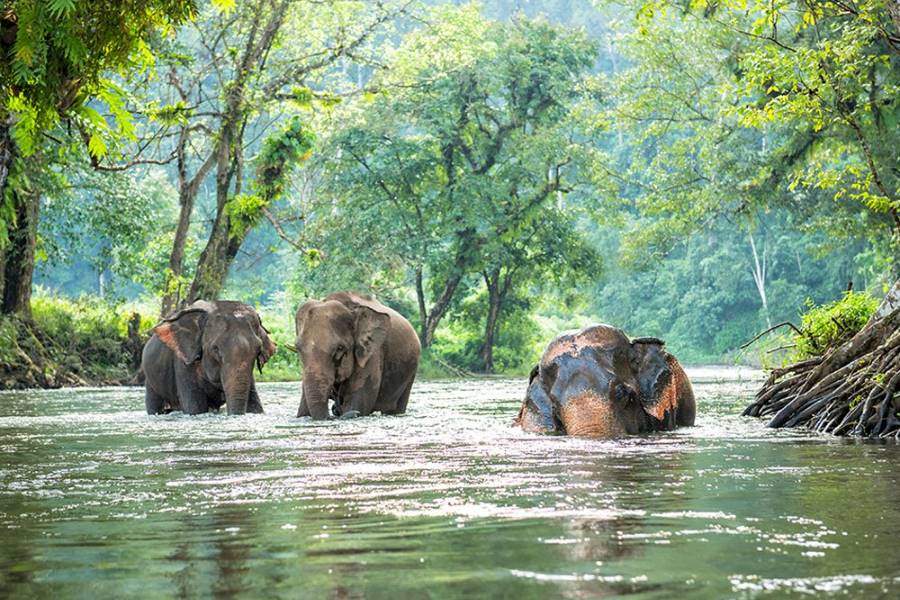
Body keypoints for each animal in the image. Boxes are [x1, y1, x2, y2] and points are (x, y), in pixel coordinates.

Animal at [142, 300, 277, 415]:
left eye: (258, 349)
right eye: (215, 349)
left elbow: (255, 406)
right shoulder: (184, 363)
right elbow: (195, 408)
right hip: (151, 379)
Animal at [294, 291, 420, 419]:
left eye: (340, 348)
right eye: (297, 348)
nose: (335, 411)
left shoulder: (372, 352)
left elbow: (360, 399)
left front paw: (353, 411)